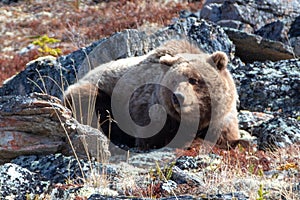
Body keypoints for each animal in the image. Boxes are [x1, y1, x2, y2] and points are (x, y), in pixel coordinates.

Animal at [64, 39, 243, 150]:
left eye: (194, 79)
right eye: (173, 82)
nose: (178, 97)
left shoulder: (222, 118)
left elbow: (226, 136)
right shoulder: (151, 110)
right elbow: (152, 136)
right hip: (98, 92)